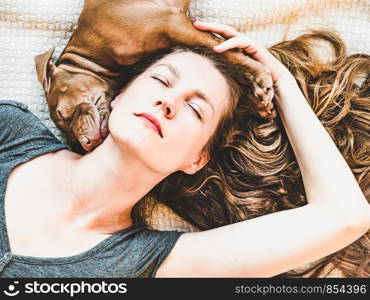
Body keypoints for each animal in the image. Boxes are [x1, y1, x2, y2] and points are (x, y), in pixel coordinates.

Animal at [34, 0, 274, 152]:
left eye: (62, 113)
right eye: (68, 138)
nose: (85, 144)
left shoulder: (176, 26)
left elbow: (228, 52)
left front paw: (259, 75)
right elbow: (225, 62)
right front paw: (257, 100)